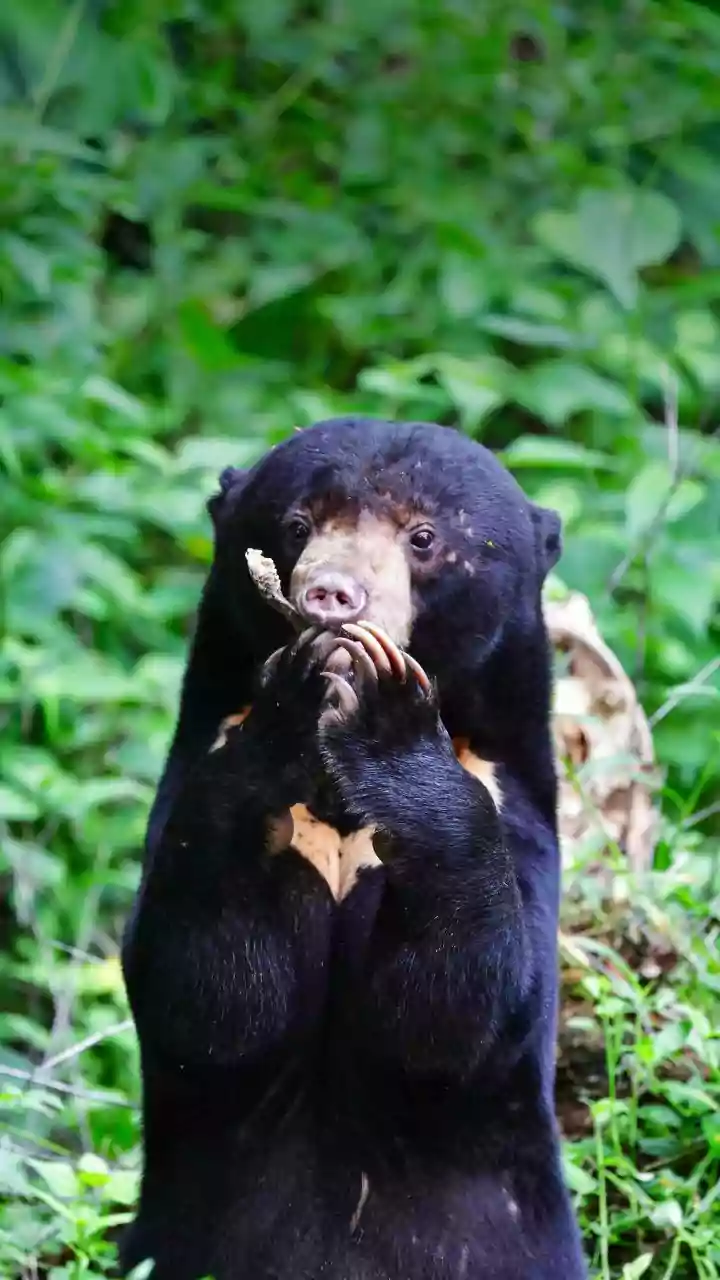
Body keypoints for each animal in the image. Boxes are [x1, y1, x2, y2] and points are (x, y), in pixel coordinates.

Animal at [119, 417, 588, 1280]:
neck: (336, 805)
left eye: (424, 537)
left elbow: (458, 1008)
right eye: (298, 524)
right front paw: (288, 705)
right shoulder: (193, 776)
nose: (332, 596)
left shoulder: (514, 812)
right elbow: (209, 991)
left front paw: (391, 717)